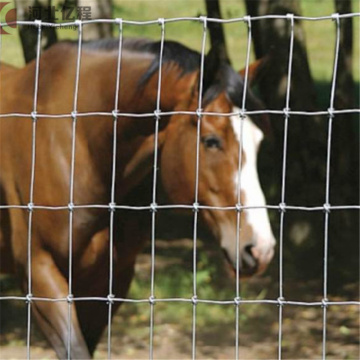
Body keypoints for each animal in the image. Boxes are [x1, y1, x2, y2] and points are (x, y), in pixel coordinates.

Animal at [0, 35, 276, 358]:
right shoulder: (39, 273)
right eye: (211, 140)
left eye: (258, 142)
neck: (77, 143)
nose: (261, 249)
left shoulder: (108, 279)